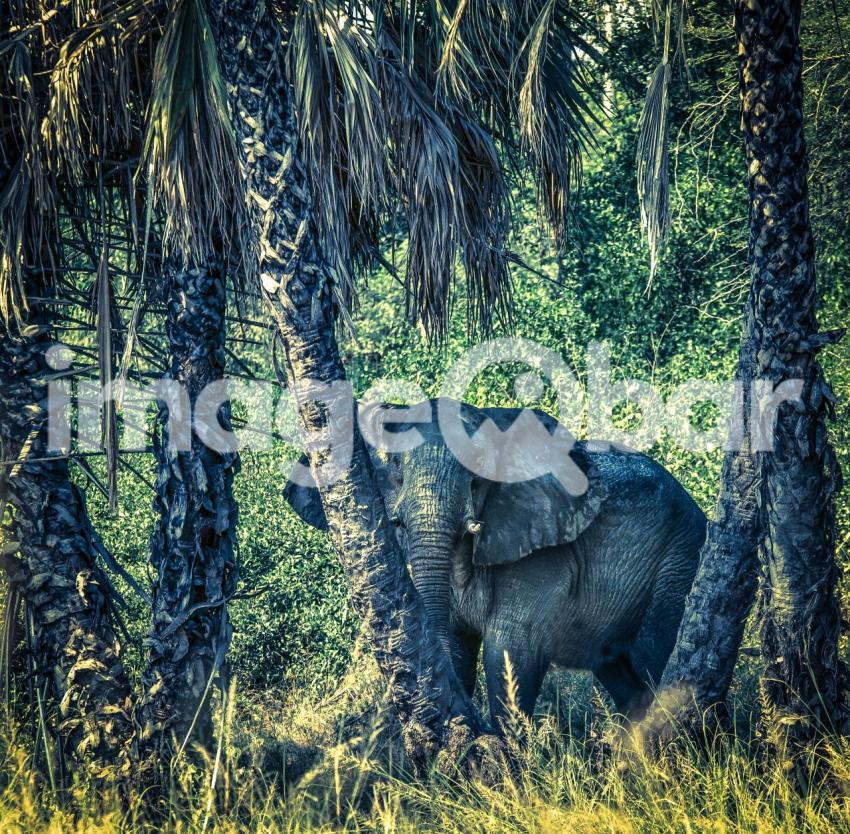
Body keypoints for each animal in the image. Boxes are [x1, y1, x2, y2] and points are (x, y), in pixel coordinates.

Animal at [284, 399, 707, 728]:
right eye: (397, 468)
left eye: (477, 469)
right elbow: (457, 647)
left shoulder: (541, 550)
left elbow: (509, 650)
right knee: (623, 680)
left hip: (680, 561)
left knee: (654, 659)